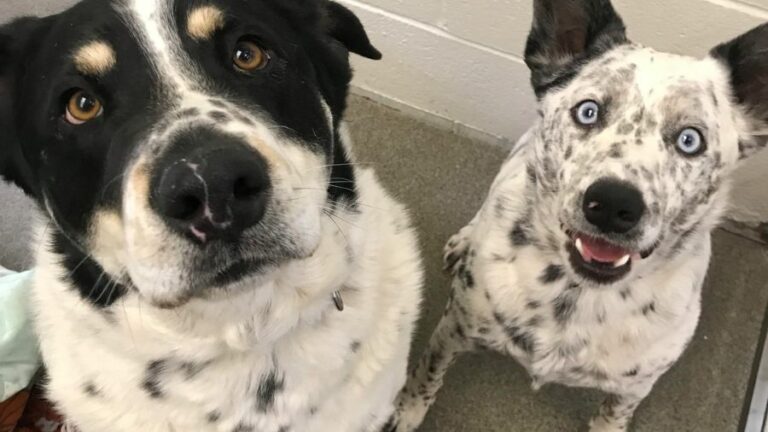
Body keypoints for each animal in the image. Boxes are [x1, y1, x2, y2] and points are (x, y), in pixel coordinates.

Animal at [392, 0, 768, 432]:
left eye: (690, 140)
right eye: (588, 112)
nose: (613, 204)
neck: (576, 293)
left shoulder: (637, 384)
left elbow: (614, 412)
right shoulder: (456, 326)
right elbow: (428, 371)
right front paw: (406, 410)